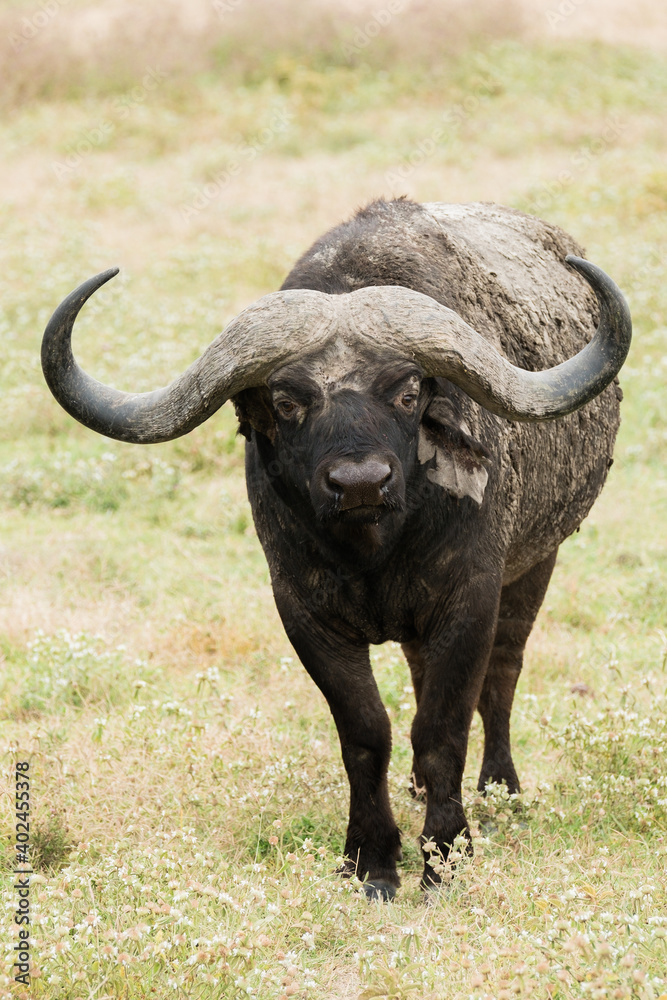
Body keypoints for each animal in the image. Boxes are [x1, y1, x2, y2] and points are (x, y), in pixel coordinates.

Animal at [41, 199, 632, 896]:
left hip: (538, 562)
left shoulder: (469, 599)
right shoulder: (304, 613)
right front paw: (372, 860)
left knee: (504, 673)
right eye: (287, 400)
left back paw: (498, 787)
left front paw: (444, 853)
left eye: (407, 390)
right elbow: (366, 732)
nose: (360, 483)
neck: (373, 551)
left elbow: (445, 725)